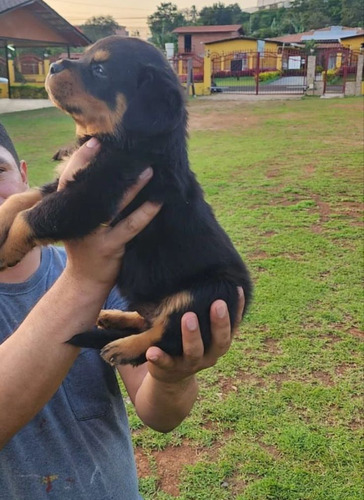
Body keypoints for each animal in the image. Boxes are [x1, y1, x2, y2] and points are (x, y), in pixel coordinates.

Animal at [0, 35, 252, 364]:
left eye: (100, 70)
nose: (53, 66)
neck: (124, 141)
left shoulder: (91, 195)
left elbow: (31, 216)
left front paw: (6, 253)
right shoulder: (68, 182)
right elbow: (21, 200)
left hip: (213, 294)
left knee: (168, 335)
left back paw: (123, 347)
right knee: (150, 320)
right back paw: (115, 318)